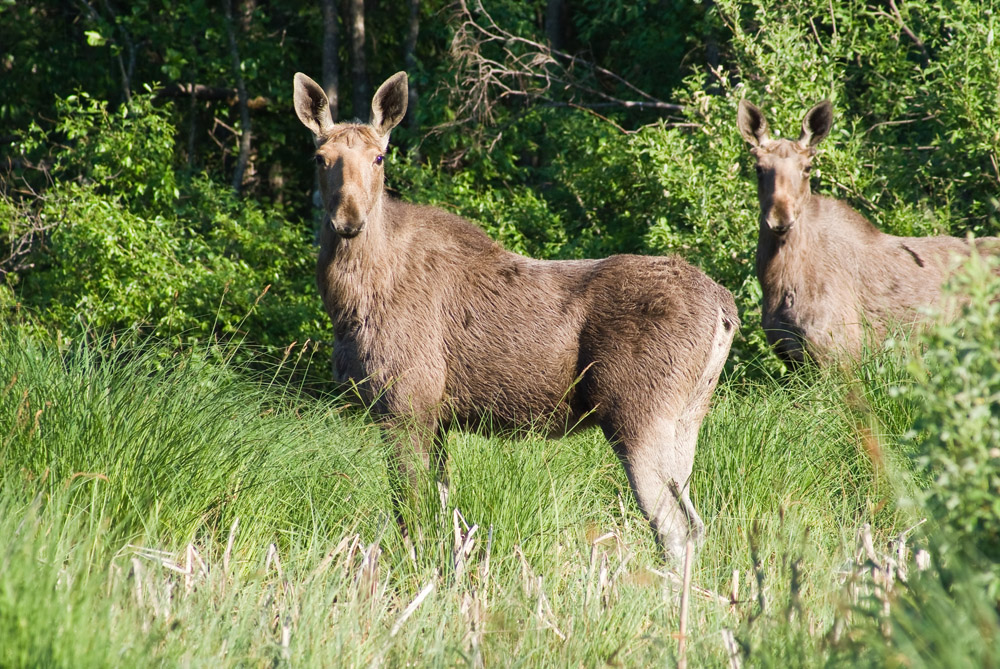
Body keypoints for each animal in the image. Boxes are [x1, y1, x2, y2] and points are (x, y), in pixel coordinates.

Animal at [292, 70, 740, 560]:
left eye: (379, 156)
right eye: (319, 158)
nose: (348, 220)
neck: (348, 303)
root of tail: (725, 307)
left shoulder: (404, 405)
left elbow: (409, 514)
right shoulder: (438, 420)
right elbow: (441, 511)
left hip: (637, 413)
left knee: (673, 526)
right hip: (688, 417)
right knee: (696, 523)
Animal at [736, 99, 1000, 366]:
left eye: (807, 168)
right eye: (759, 168)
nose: (780, 217)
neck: (777, 282)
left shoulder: (839, 353)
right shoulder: (791, 356)